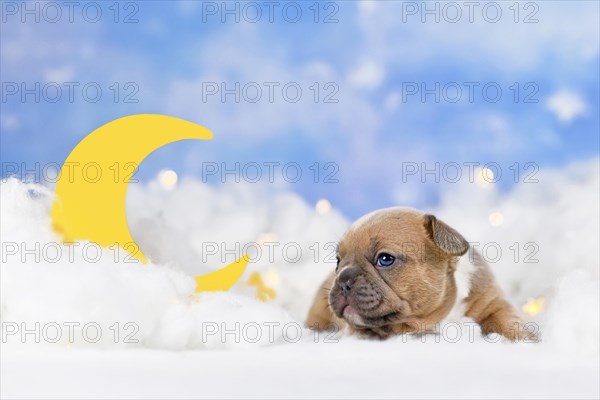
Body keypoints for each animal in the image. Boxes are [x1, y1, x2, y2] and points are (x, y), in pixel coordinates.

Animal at [308, 206, 536, 340]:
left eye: (385, 259)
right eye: (338, 261)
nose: (343, 279)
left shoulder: (492, 301)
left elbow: (509, 322)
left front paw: (524, 339)